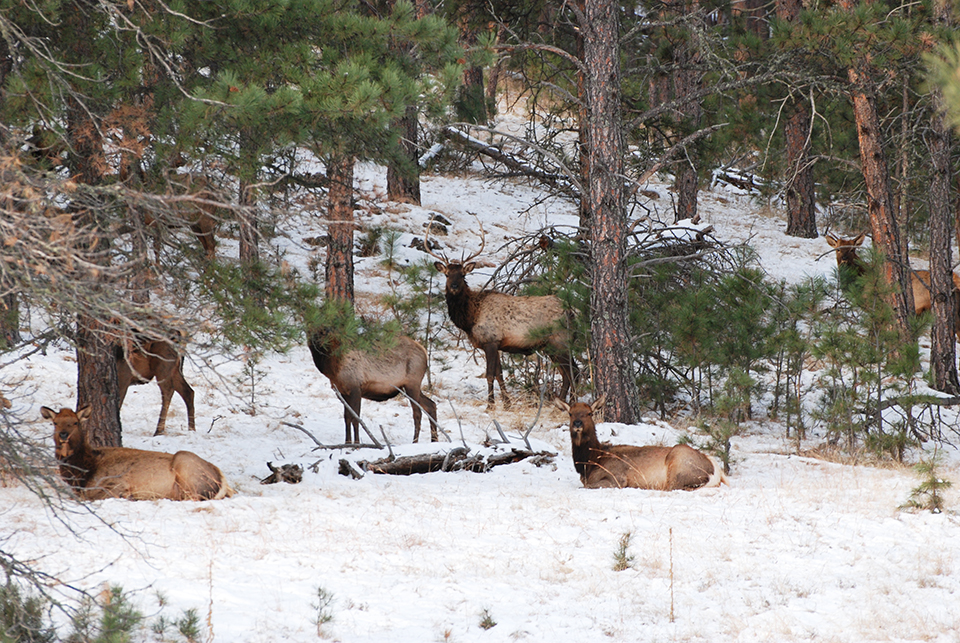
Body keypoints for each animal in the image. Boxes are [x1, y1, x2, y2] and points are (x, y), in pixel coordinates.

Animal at [39, 408, 234, 504]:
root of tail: (222, 479)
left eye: (75, 422)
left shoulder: (116, 483)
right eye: (55, 423)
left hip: (185, 465)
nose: (63, 435)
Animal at [308, 330, 438, 446]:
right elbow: (347, 418)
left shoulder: (355, 388)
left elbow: (356, 418)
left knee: (417, 413)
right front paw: (347, 443)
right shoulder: (342, 391)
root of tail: (424, 351)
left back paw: (415, 442)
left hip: (412, 384)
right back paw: (434, 440)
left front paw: (357, 444)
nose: (319, 342)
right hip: (408, 387)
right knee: (431, 404)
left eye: (325, 331)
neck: (332, 368)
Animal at [428, 231, 576, 406]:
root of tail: (571, 313)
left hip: (560, 340)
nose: (454, 286)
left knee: (573, 373)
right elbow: (499, 374)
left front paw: (490, 405)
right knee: (568, 373)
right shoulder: (496, 343)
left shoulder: (490, 340)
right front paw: (507, 403)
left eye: (463, 274)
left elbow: (489, 374)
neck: (471, 318)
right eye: (447, 274)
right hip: (550, 346)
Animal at [556, 394, 728, 490]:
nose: (577, 423)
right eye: (570, 413)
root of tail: (715, 471)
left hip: (679, 462)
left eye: (589, 413)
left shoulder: (616, 478)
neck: (589, 463)